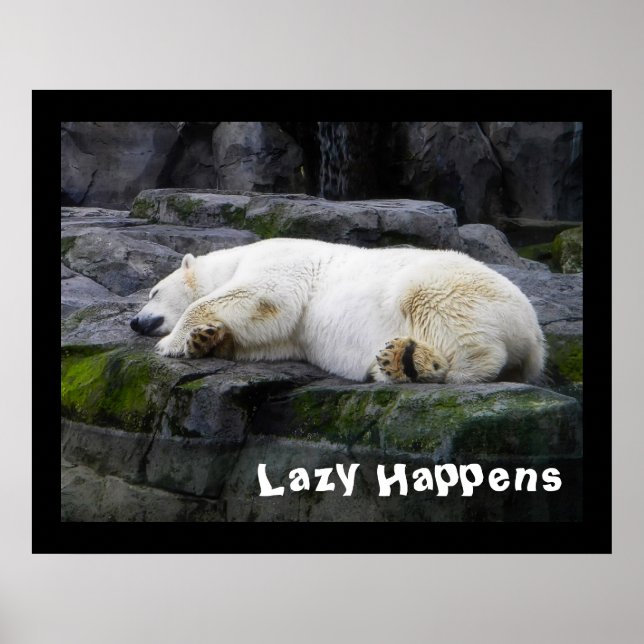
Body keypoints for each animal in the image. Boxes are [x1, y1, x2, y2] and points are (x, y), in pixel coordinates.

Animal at [130, 238, 546, 384]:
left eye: (153, 291)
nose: (134, 322)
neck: (234, 259)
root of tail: (535, 335)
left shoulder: (280, 261)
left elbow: (264, 295)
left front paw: (173, 342)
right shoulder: (288, 335)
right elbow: (267, 335)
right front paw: (205, 339)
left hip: (449, 285)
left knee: (440, 313)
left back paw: (419, 366)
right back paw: (397, 361)